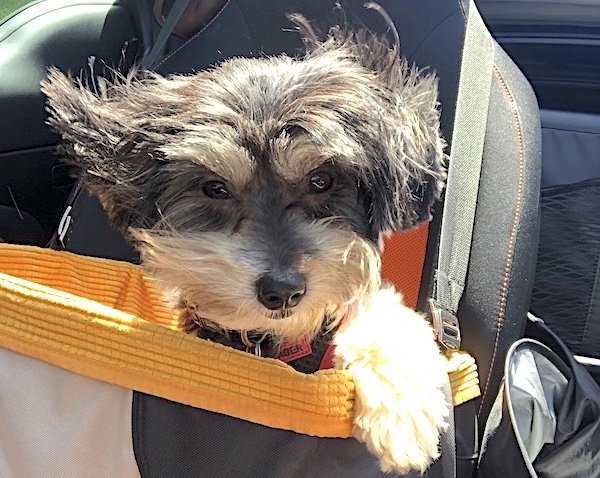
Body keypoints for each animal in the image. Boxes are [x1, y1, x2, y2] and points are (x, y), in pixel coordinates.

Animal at [42, 13, 450, 476]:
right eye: (215, 188)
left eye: (321, 180)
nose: (283, 291)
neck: (271, 343)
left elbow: (387, 316)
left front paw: (402, 411)